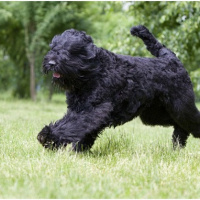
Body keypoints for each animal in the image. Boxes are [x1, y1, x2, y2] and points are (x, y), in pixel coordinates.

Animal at [37, 25, 200, 151]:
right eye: (54, 48)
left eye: (70, 50)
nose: (51, 62)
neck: (93, 71)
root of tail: (171, 58)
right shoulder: (79, 109)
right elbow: (80, 128)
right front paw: (79, 150)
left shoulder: (94, 109)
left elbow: (72, 124)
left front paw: (47, 136)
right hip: (155, 113)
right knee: (179, 125)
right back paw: (177, 144)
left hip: (180, 105)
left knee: (190, 121)